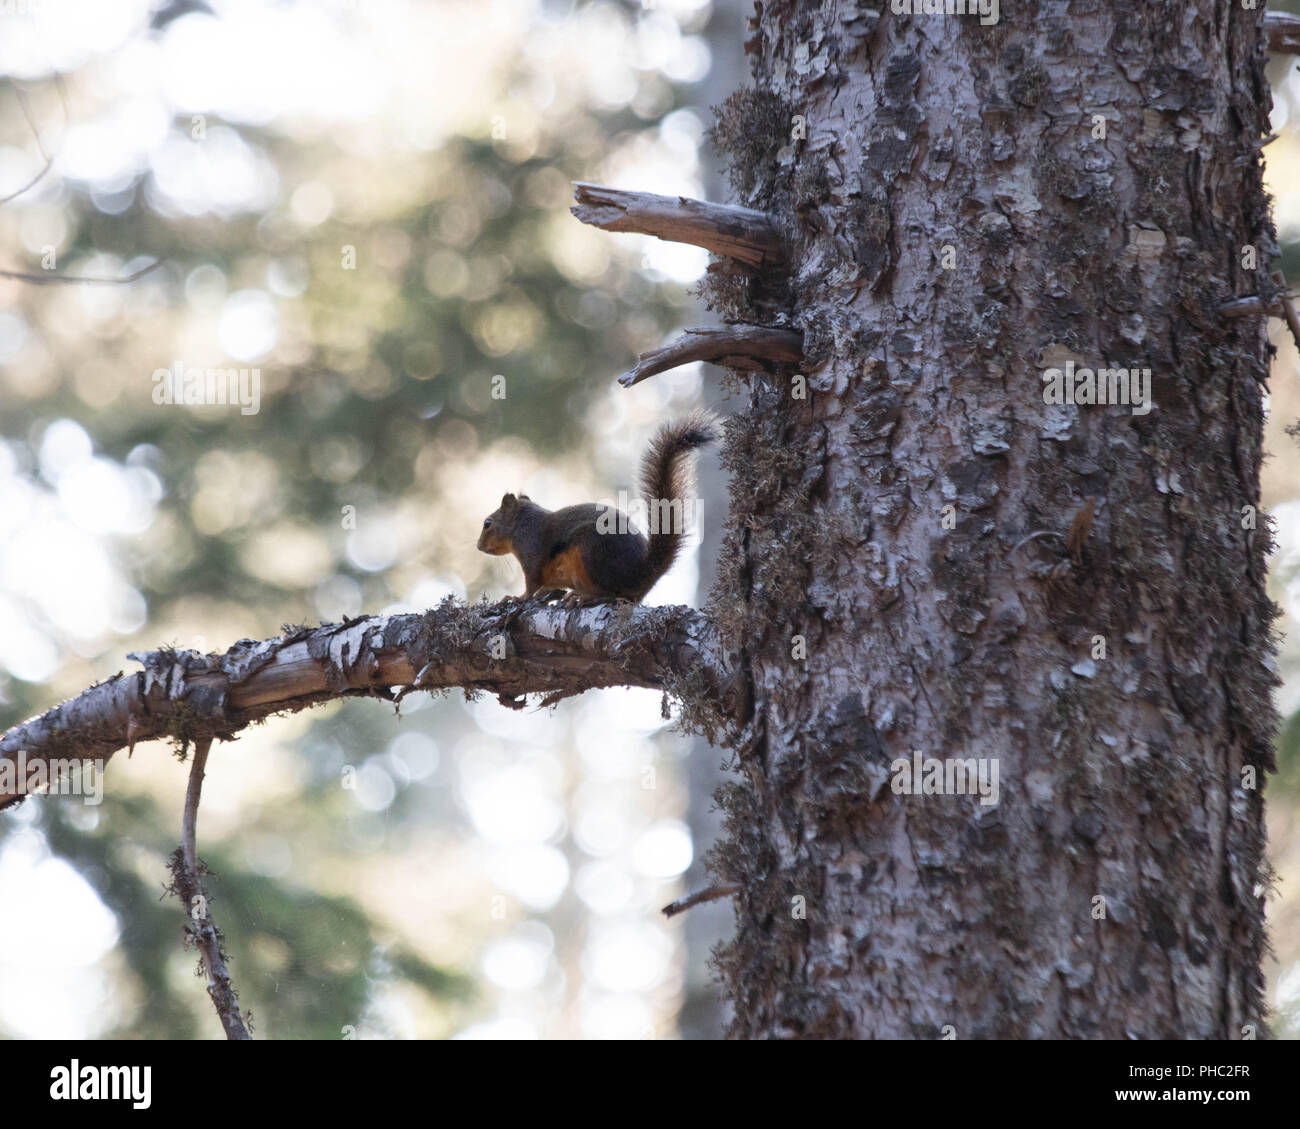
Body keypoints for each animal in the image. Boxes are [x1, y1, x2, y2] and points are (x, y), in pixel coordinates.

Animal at [478, 413, 717, 603]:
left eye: (488, 523)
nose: (479, 546)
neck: (522, 524)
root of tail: (641, 573)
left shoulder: (532, 552)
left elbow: (532, 584)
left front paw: (517, 597)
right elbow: (546, 587)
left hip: (592, 552)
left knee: (610, 593)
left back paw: (585, 597)